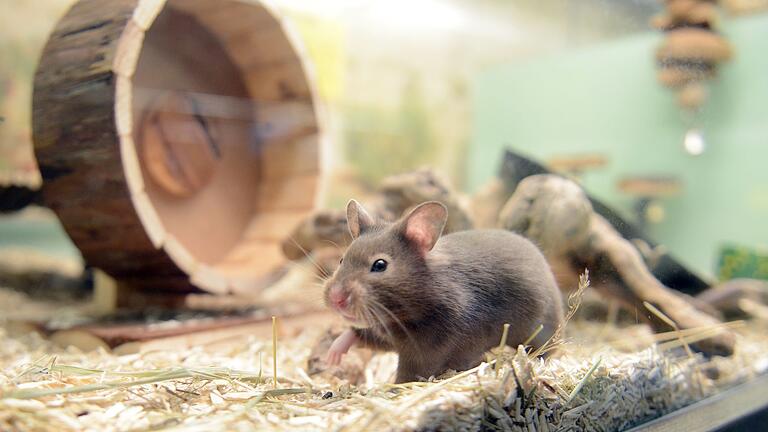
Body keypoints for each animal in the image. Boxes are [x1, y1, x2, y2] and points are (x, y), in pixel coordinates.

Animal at [320, 198, 564, 382]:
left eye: (380, 265)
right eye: (341, 260)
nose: (335, 299)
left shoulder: (427, 351)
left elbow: (407, 375)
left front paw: (392, 388)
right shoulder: (388, 334)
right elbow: (360, 335)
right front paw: (332, 356)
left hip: (540, 331)